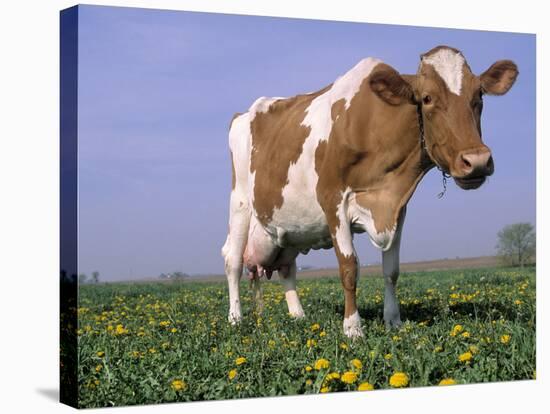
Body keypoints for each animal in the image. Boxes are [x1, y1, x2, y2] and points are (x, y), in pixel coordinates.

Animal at [220, 45, 516, 338]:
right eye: (427, 98)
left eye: (479, 95)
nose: (476, 160)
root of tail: (243, 114)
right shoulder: (332, 199)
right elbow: (349, 267)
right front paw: (353, 328)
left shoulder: (398, 207)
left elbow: (391, 271)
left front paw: (393, 321)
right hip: (240, 201)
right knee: (232, 260)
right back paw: (235, 319)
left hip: (288, 227)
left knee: (286, 267)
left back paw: (298, 316)